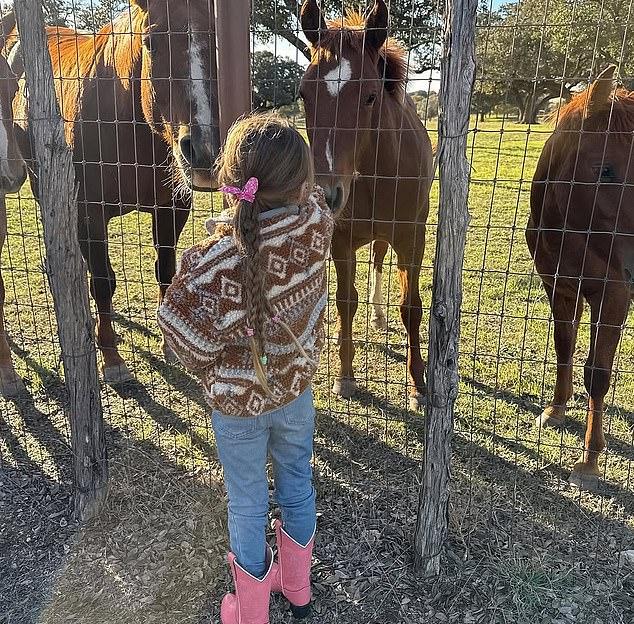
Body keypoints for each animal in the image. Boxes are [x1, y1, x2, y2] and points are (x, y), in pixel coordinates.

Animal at [6, 0, 218, 382]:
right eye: (150, 42)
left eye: (216, 39)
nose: (203, 150)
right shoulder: (89, 212)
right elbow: (103, 282)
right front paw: (111, 357)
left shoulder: (173, 208)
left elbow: (165, 269)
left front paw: (169, 342)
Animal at [298, 0, 432, 410]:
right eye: (303, 94)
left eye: (370, 96)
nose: (327, 193)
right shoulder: (341, 242)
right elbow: (345, 302)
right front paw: (344, 376)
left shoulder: (411, 238)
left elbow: (411, 307)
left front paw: (418, 386)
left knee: (378, 259)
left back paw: (378, 315)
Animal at [524, 67, 632, 488]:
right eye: (604, 169)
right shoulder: (559, 286)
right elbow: (564, 345)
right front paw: (555, 409)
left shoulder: (614, 296)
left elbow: (598, 374)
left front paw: (589, 459)